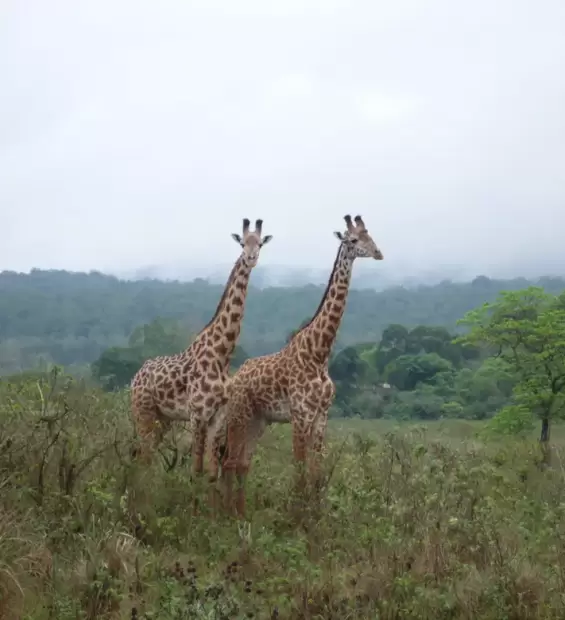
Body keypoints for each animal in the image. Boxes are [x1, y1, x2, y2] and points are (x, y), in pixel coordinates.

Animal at [132, 218, 274, 494]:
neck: (222, 353)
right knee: (143, 456)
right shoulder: (197, 414)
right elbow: (195, 470)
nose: (251, 257)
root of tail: (135, 378)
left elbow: (210, 472)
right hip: (143, 412)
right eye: (242, 243)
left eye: (260, 243)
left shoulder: (217, 417)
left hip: (163, 418)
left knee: (146, 456)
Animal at [209, 216, 386, 516]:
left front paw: (316, 516)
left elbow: (316, 473)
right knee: (229, 461)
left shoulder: (321, 416)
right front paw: (297, 517)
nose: (378, 253)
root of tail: (234, 378)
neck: (319, 353)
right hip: (239, 417)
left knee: (242, 462)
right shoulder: (300, 415)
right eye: (352, 240)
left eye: (370, 235)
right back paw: (227, 514)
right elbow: (300, 470)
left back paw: (241, 514)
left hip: (259, 420)